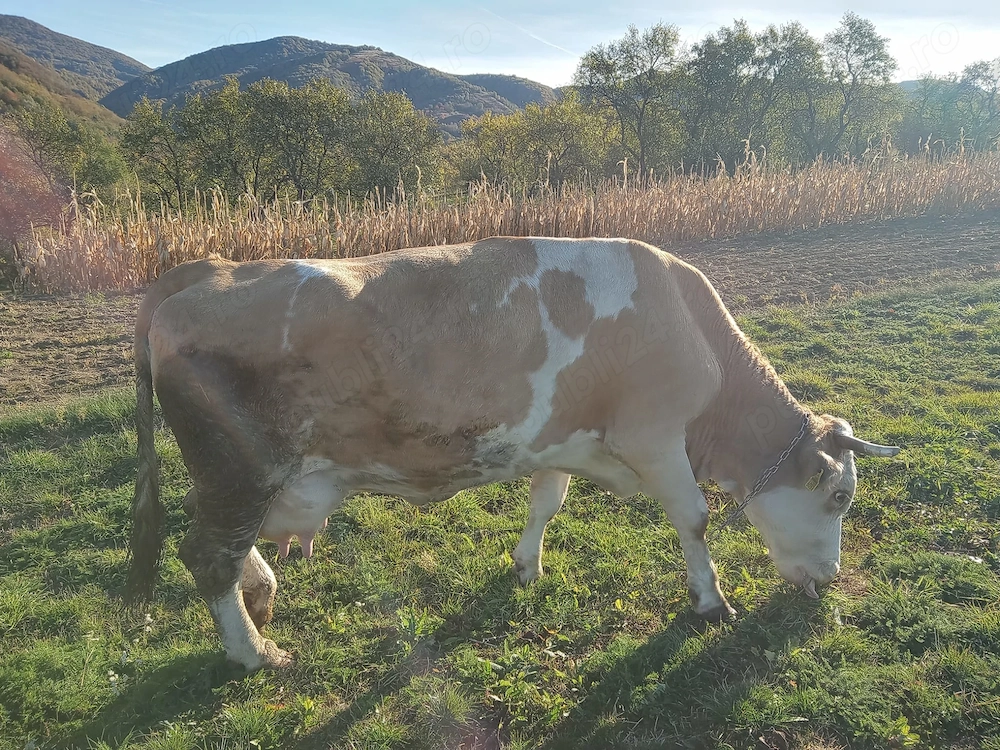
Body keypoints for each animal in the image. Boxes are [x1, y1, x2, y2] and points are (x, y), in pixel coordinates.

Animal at [124, 236, 900, 672]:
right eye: (839, 495)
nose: (830, 578)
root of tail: (210, 268)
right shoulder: (653, 439)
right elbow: (695, 519)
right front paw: (710, 600)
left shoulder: (560, 437)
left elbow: (546, 501)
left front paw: (527, 565)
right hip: (240, 469)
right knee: (207, 555)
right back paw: (255, 652)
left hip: (246, 477)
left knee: (228, 547)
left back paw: (260, 594)